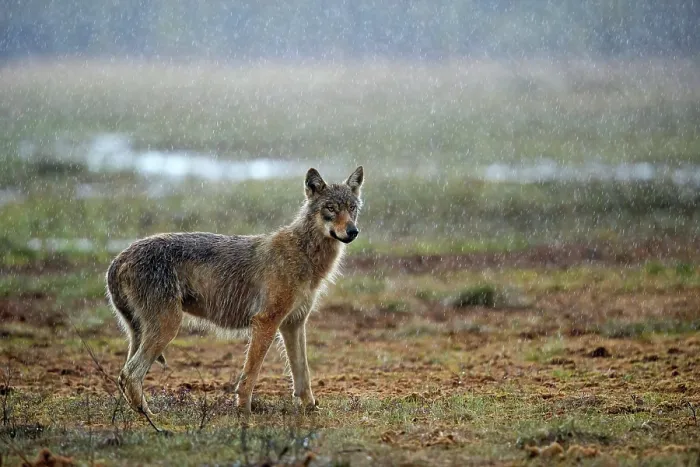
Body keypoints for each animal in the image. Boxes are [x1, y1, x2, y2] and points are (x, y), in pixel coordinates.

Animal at [106, 166, 364, 416]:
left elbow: (303, 374)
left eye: (352, 208)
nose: (353, 231)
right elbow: (250, 374)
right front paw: (244, 412)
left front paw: (311, 409)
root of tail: (118, 259)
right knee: (129, 374)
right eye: (331, 208)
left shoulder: (294, 324)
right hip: (168, 327)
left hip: (145, 332)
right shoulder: (266, 322)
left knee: (124, 376)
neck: (304, 253)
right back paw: (152, 417)